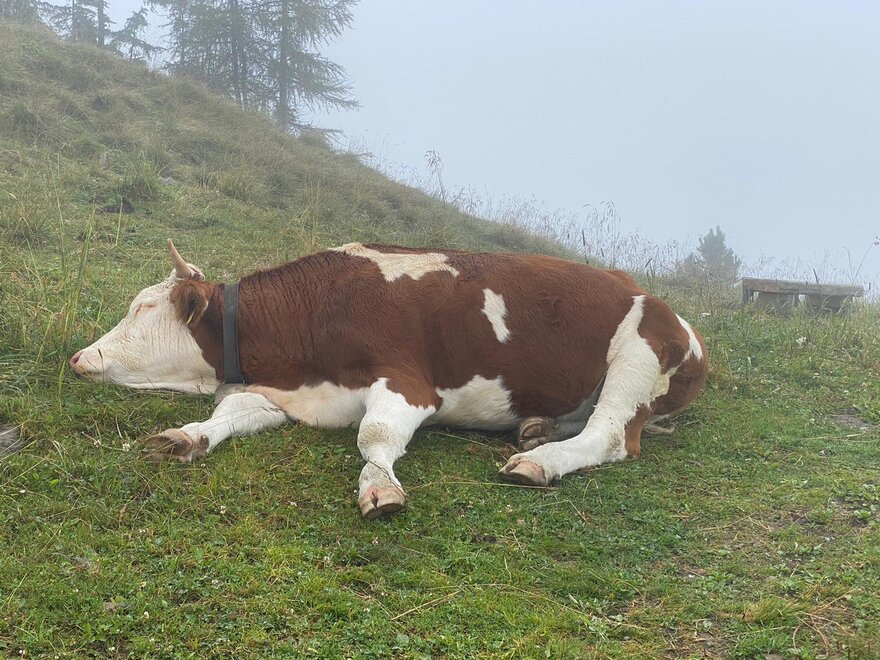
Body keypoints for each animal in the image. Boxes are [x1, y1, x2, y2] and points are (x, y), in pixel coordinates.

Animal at [70, 241, 708, 519]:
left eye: (142, 309)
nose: (79, 358)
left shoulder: (406, 381)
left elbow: (374, 435)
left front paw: (380, 487)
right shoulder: (293, 394)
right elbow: (229, 414)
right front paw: (185, 435)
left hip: (639, 353)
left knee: (611, 435)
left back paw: (538, 460)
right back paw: (536, 427)